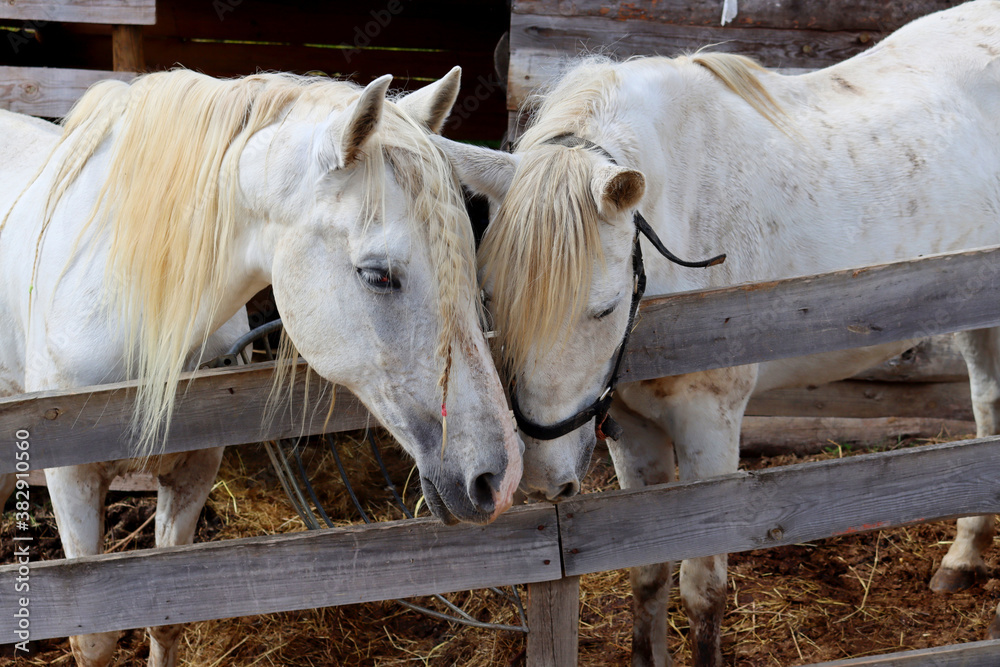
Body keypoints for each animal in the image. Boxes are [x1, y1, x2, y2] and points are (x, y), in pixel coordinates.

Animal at [0, 66, 523, 666]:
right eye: (378, 275)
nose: (500, 479)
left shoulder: (194, 469)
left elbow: (163, 621)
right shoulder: (71, 479)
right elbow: (96, 638)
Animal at [434, 1, 1000, 664]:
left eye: (603, 309)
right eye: (490, 298)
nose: (546, 478)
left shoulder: (710, 426)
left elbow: (702, 590)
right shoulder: (634, 431)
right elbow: (647, 574)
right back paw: (963, 558)